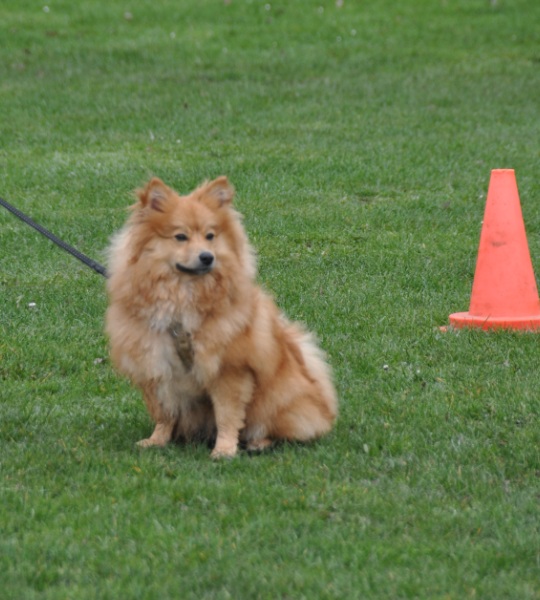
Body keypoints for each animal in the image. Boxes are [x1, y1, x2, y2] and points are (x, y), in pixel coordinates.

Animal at [105, 176, 337, 458]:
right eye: (180, 237)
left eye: (210, 236)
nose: (207, 256)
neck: (183, 298)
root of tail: (323, 404)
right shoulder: (156, 362)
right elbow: (165, 412)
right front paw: (157, 440)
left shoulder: (229, 369)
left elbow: (227, 415)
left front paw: (225, 450)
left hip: (277, 398)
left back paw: (259, 442)